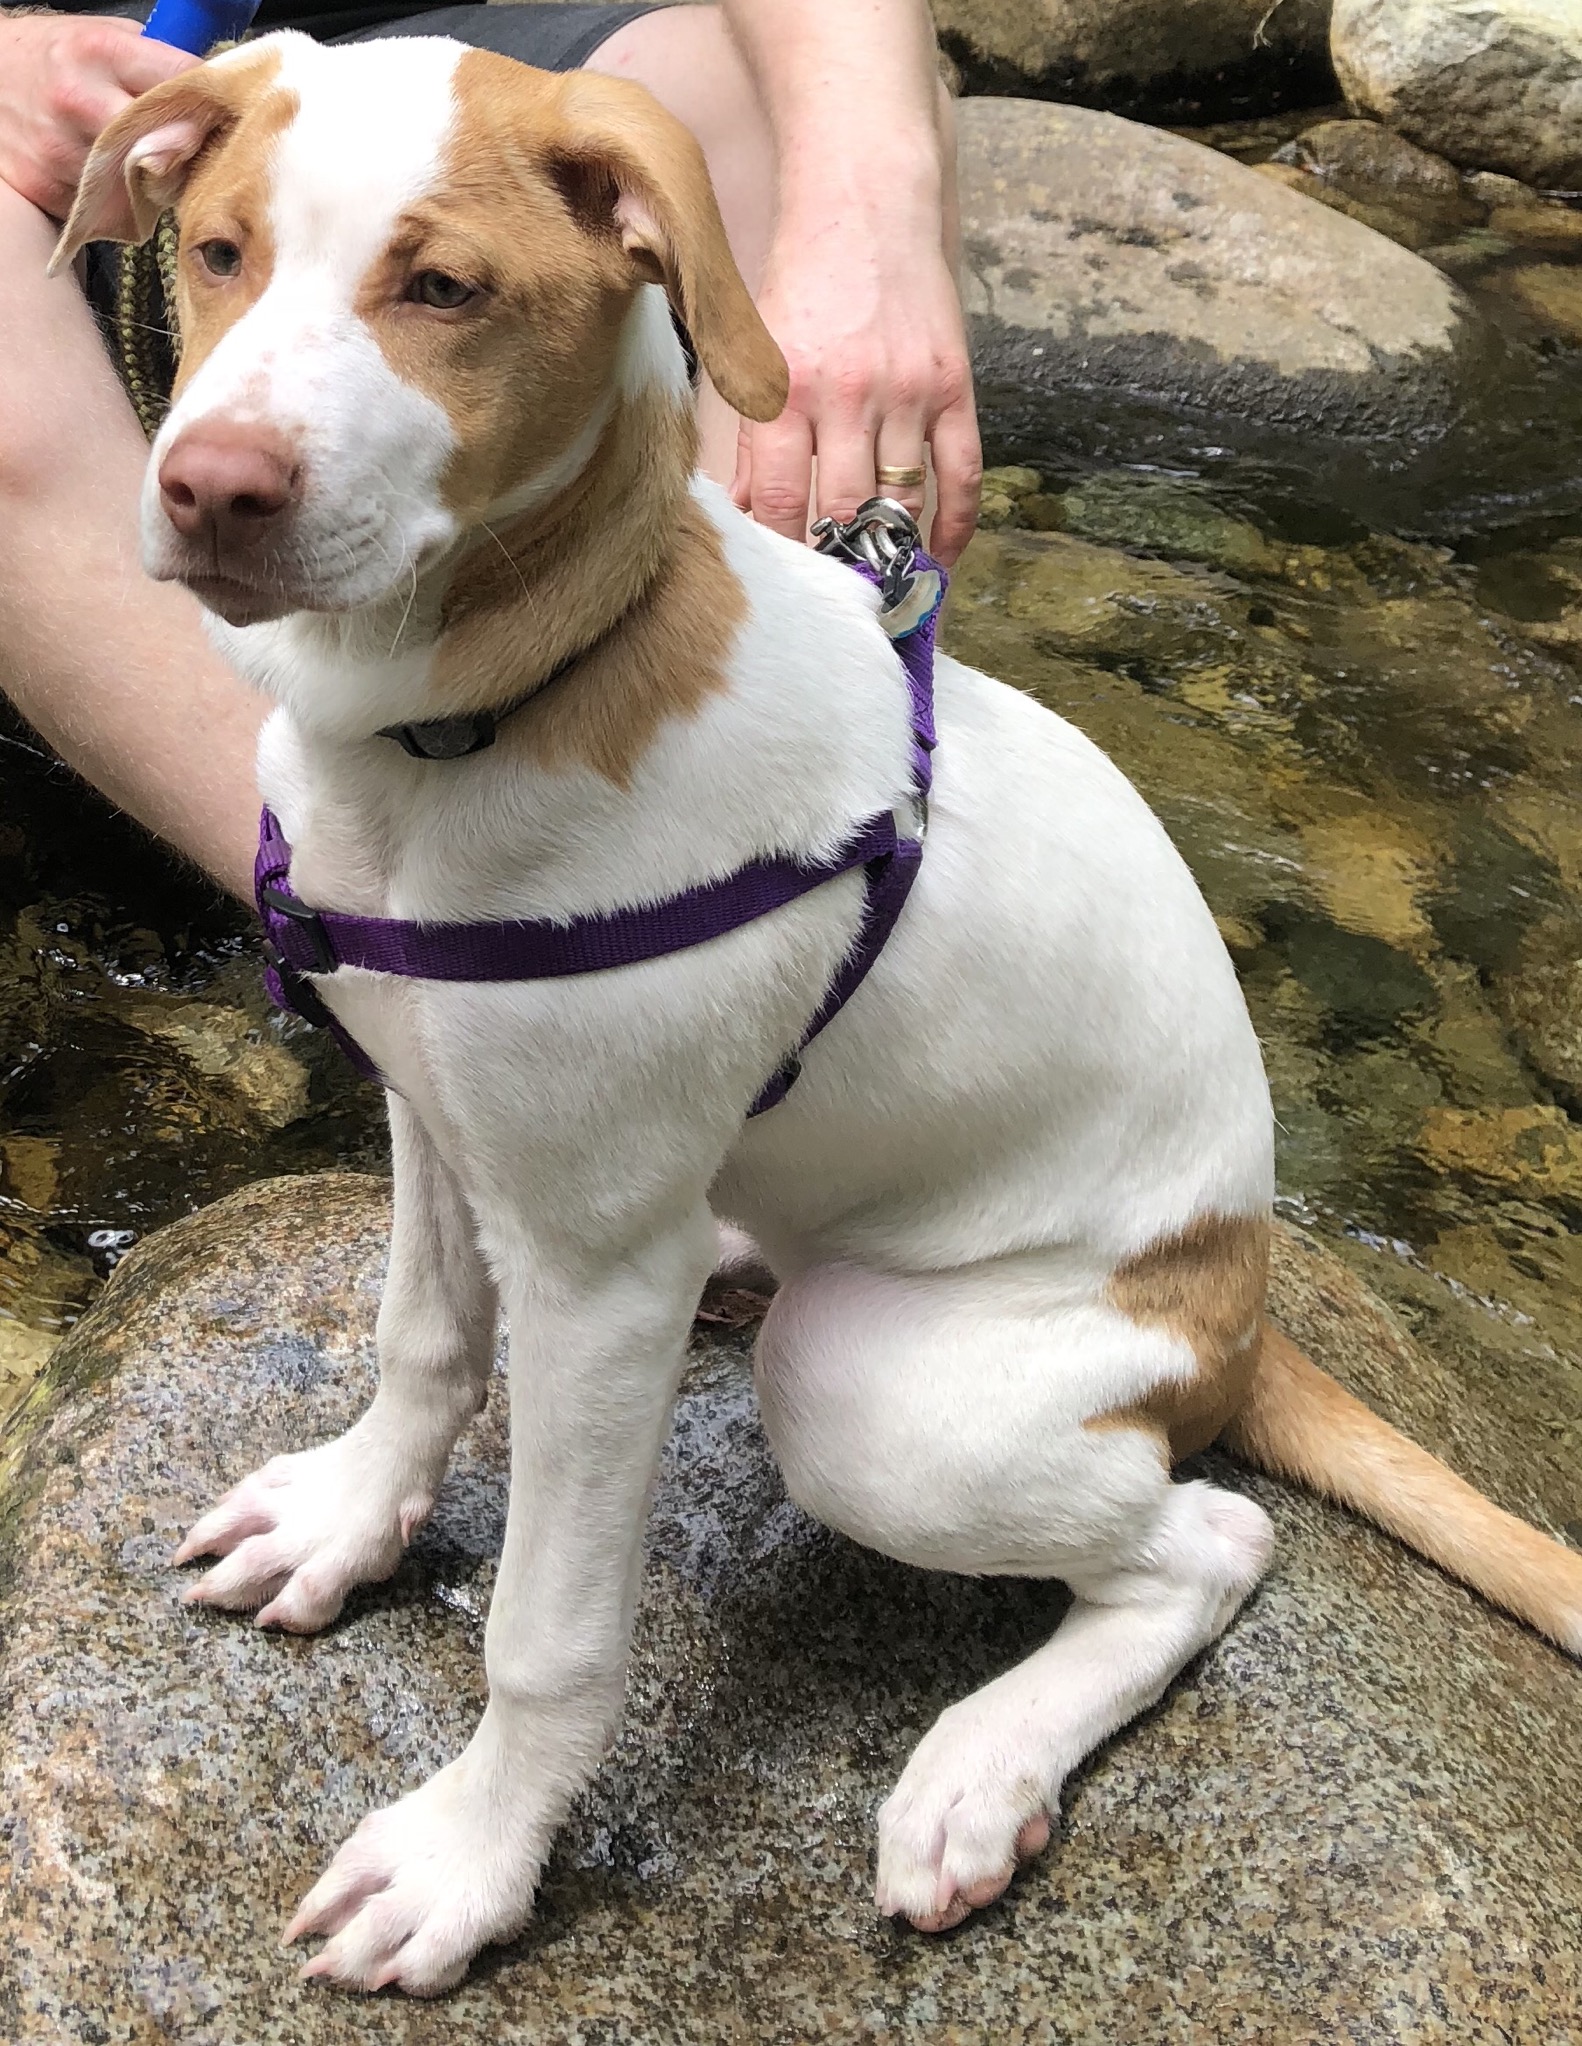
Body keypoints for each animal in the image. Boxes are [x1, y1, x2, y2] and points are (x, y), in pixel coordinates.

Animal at [59, 31, 1582, 1996]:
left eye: (445, 290)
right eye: (219, 250)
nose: (210, 487)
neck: (485, 714)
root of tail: (1238, 1302)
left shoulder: (595, 1276)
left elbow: (546, 1634)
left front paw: (471, 1860)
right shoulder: (435, 1113)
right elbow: (419, 1340)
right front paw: (345, 1519)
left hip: (873, 1394)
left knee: (1208, 1539)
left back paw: (982, 1766)